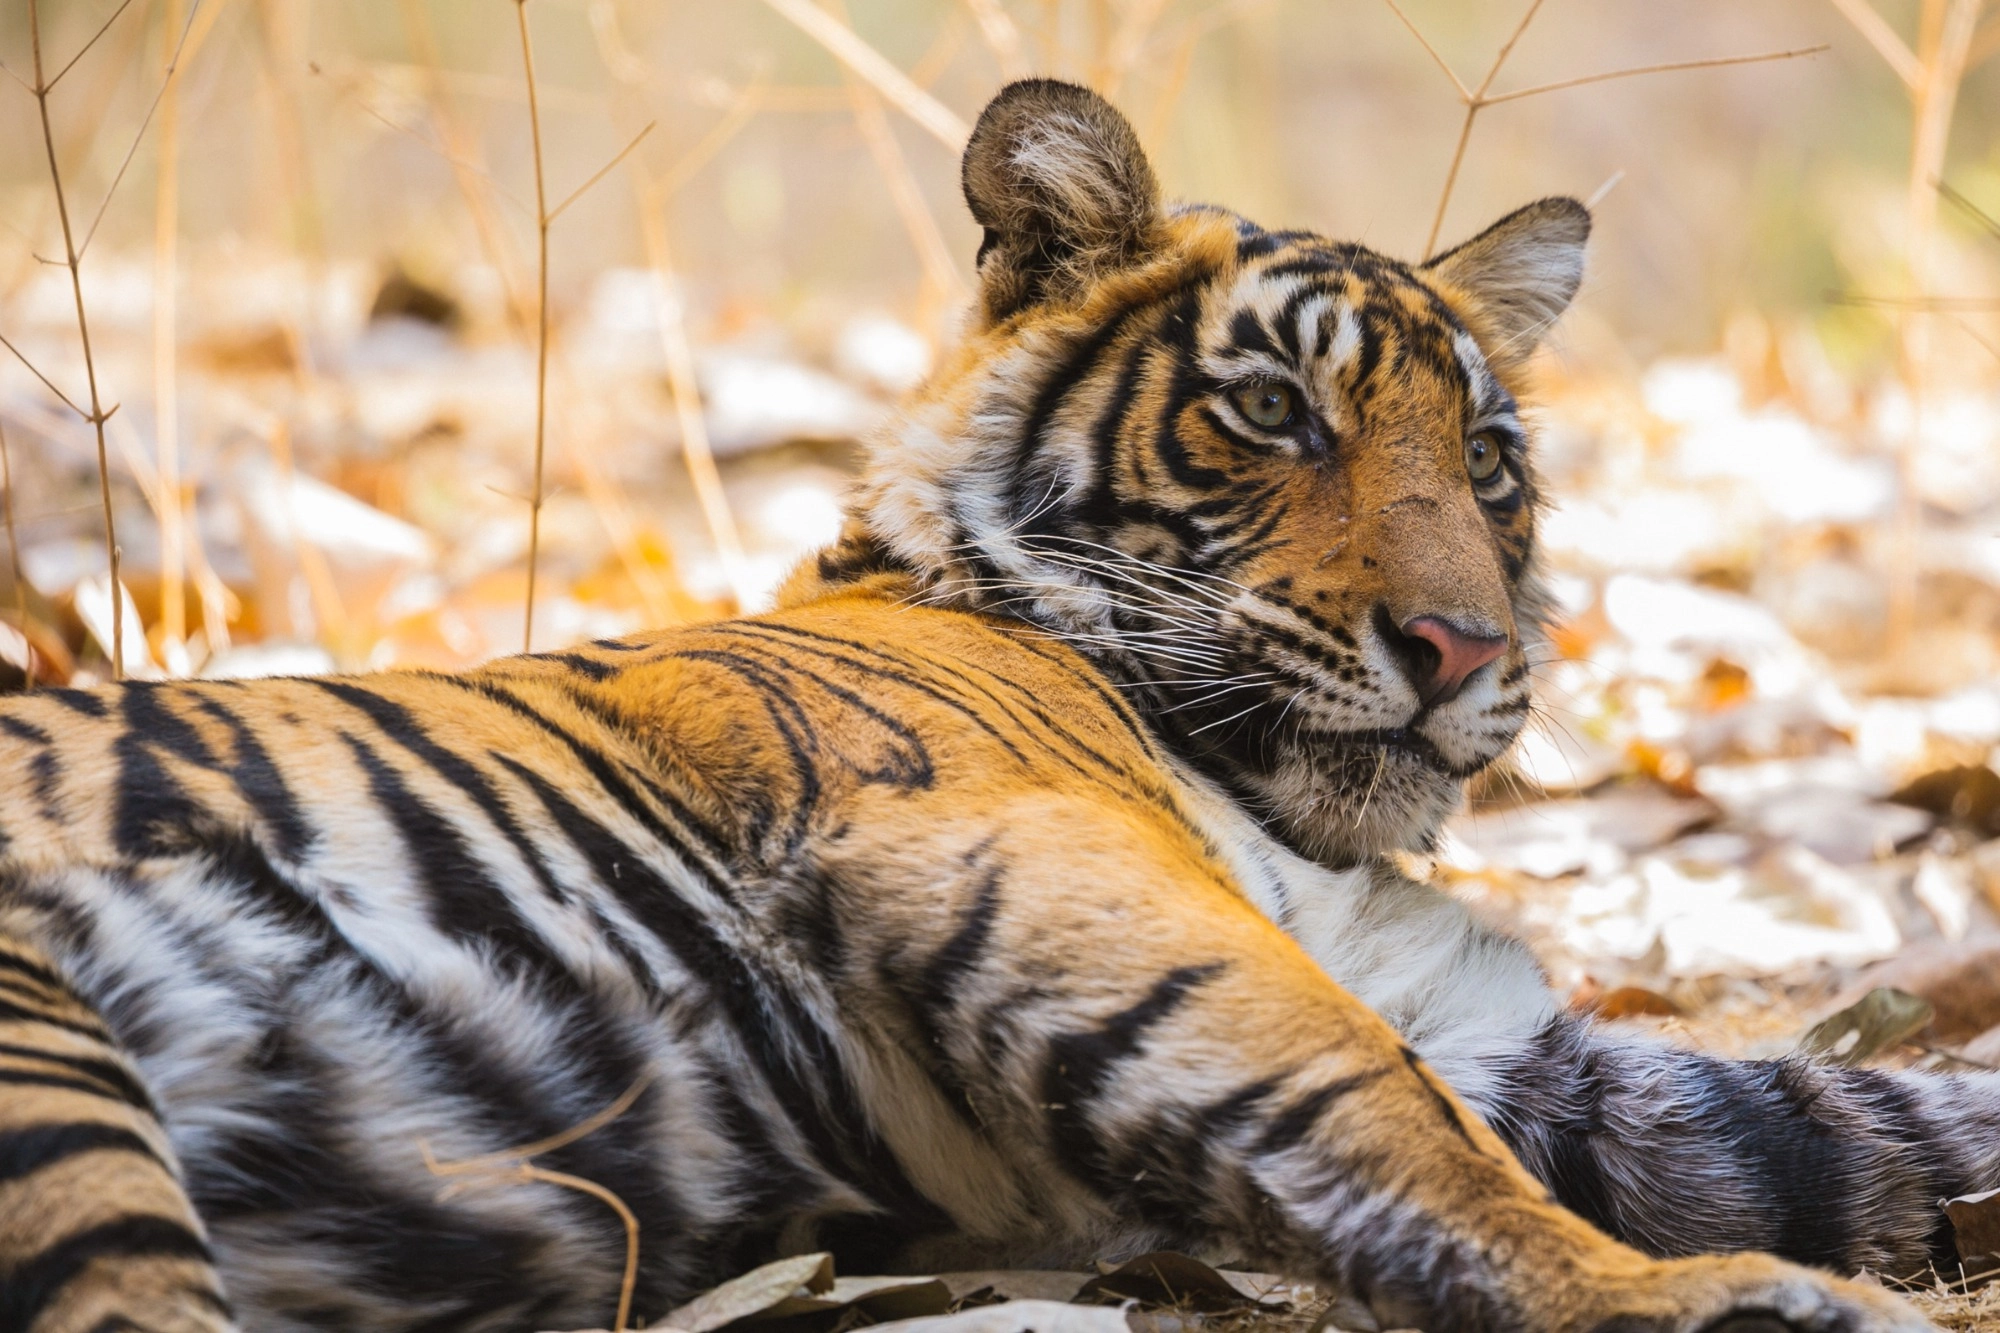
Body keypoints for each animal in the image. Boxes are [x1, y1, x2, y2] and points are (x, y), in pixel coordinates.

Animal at [0, 77, 1983, 1333]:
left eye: (1489, 461)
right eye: (1276, 413)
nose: (1465, 649)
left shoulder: (1507, 1031)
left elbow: (1861, 1123)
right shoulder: (1031, 855)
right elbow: (1394, 1113)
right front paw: (1713, 1298)